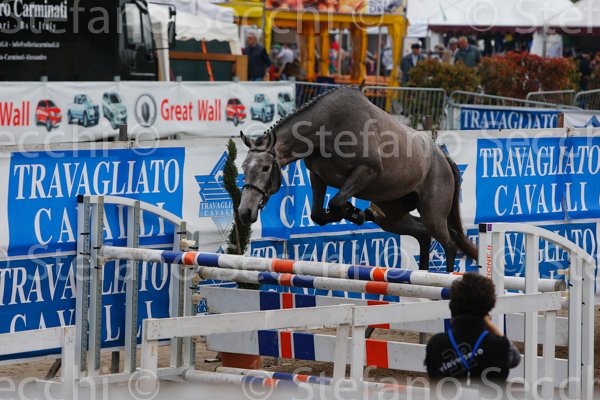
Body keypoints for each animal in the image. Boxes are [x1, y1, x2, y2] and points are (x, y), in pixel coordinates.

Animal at [238, 86, 477, 273]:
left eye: (265, 168)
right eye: (244, 168)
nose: (245, 212)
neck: (328, 128)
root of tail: (444, 158)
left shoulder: (366, 171)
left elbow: (336, 203)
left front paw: (353, 212)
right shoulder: (317, 176)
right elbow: (317, 215)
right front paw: (355, 213)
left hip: (433, 213)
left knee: (449, 243)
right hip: (393, 217)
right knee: (423, 234)